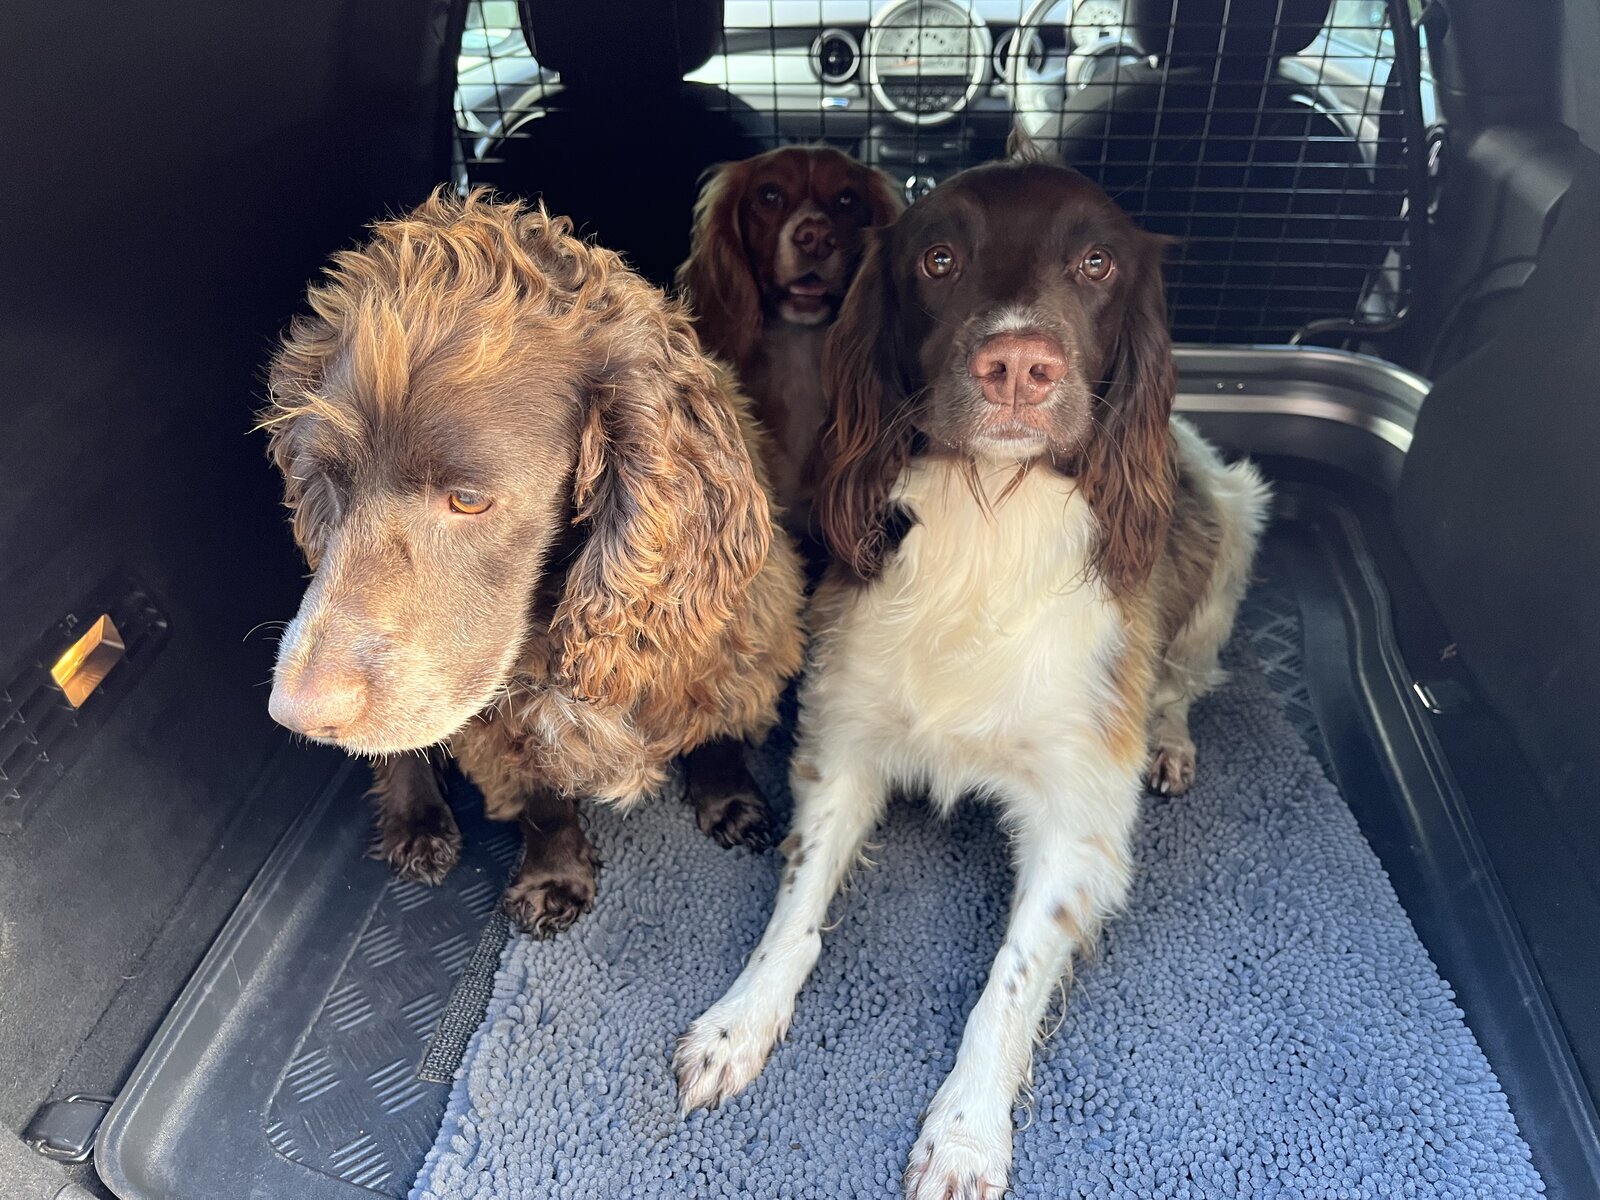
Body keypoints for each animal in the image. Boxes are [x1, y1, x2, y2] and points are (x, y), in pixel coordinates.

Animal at [263, 189, 806, 937]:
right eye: (326, 482)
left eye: (467, 500)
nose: (294, 714)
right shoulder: (494, 732)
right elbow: (544, 804)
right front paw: (555, 880)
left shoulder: (739, 644)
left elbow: (718, 732)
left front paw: (730, 802)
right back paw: (416, 823)